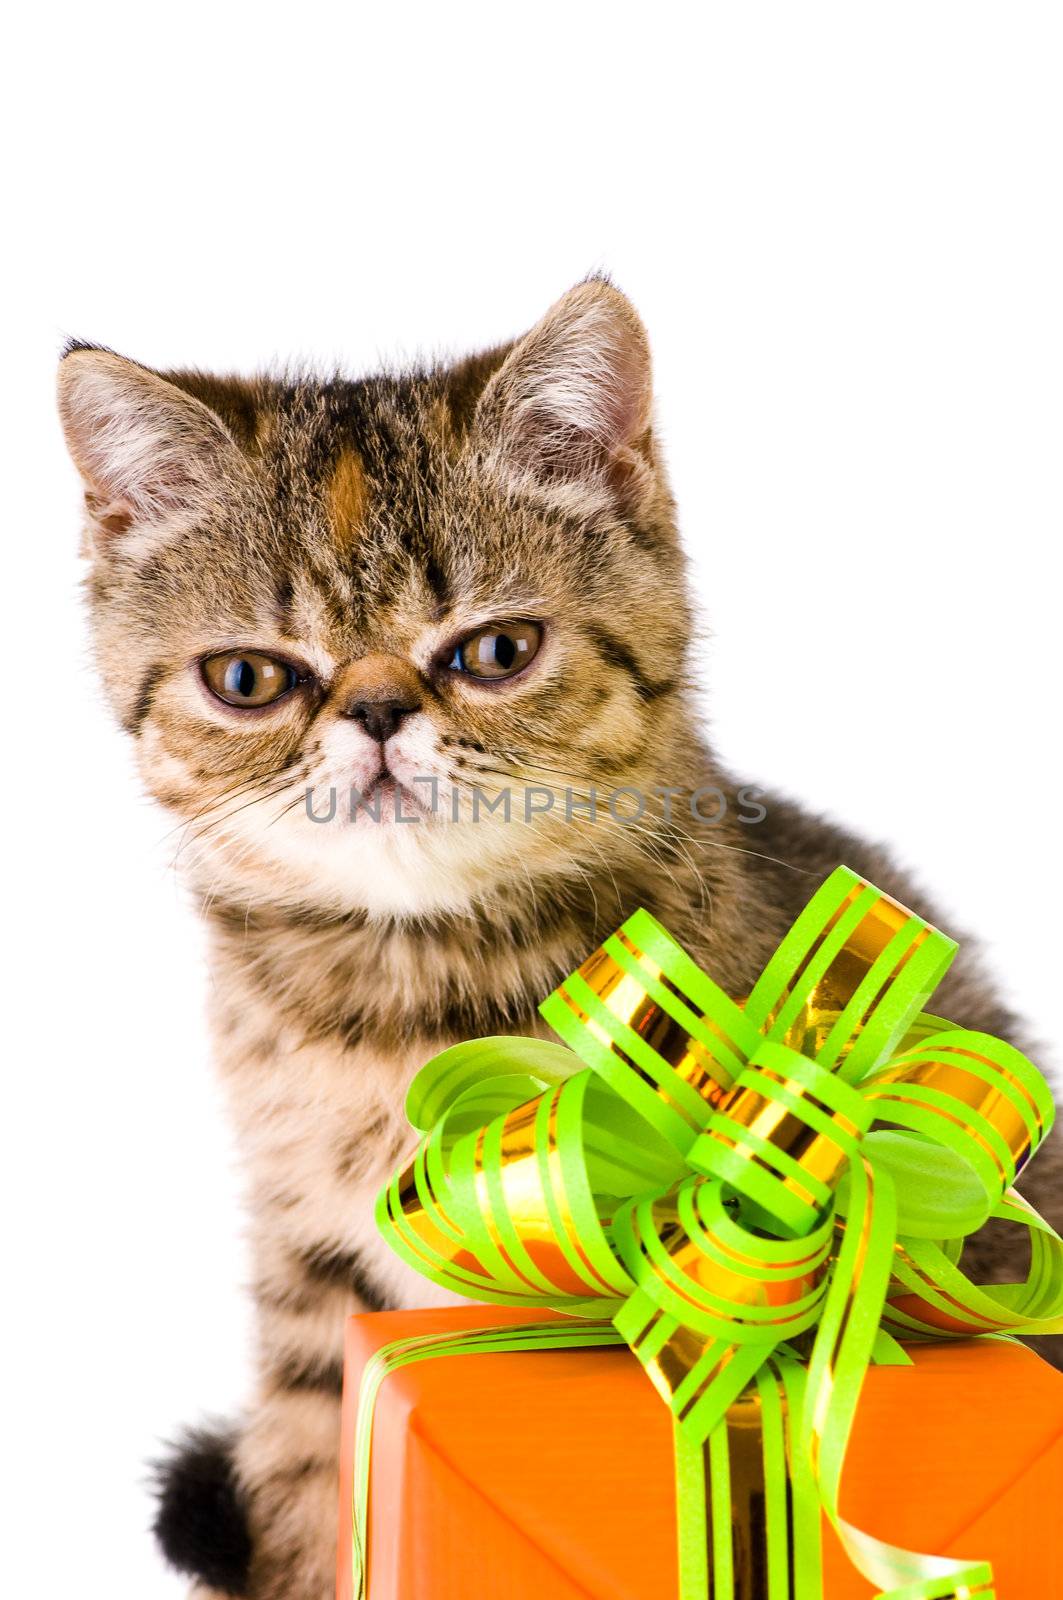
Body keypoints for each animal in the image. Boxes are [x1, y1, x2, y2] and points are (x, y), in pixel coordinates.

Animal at [60, 281, 1063, 1593]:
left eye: (495, 651)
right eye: (248, 679)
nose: (375, 711)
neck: (402, 992)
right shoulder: (309, 1274)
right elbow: (309, 1485)